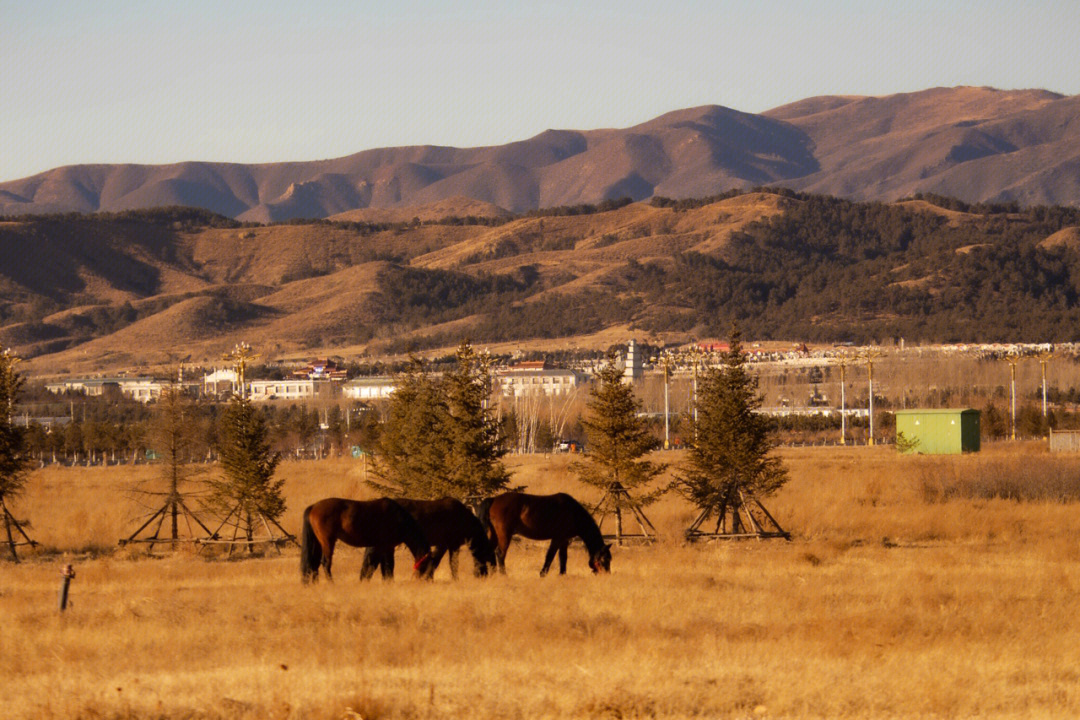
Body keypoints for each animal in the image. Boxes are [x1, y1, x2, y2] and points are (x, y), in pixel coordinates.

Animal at [298, 498, 432, 582]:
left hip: (318, 542)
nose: (427, 580)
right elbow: (387, 566)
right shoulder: (386, 547)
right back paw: (332, 583)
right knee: (325, 563)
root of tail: (314, 507)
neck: (398, 519)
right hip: (328, 542)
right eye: (427, 565)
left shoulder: (383, 547)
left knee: (313, 563)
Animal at [360, 498, 498, 582]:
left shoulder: (443, 544)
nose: (485, 575)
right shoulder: (453, 544)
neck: (466, 521)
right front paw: (455, 580)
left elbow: (435, 561)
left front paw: (427, 578)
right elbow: (453, 564)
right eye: (488, 557)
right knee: (373, 562)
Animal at [479, 490, 609, 574]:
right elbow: (550, 556)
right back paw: (503, 575)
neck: (573, 513)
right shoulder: (557, 538)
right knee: (500, 554)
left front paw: (562, 574)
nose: (606, 575)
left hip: (493, 534)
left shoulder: (564, 540)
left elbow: (563, 557)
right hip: (504, 535)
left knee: (489, 552)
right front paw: (543, 573)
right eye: (604, 560)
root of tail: (494, 500)